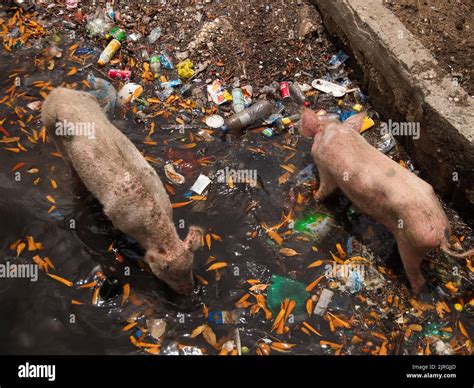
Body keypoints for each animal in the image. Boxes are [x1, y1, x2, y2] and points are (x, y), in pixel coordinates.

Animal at [302, 107, 472, 292]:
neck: (333, 131)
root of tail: (442, 235)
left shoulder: (325, 168)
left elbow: (326, 189)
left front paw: (313, 197)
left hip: (412, 244)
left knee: (417, 278)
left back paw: (413, 290)